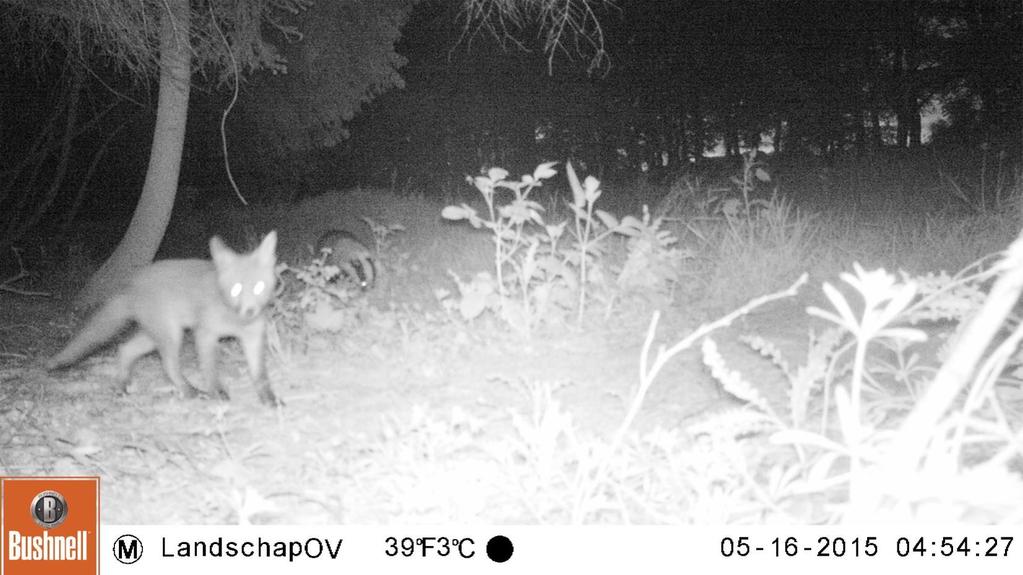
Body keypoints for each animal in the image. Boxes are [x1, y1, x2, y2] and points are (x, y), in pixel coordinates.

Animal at [46, 230, 282, 405]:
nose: (249, 311)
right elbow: (210, 370)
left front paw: (270, 400)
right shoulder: (205, 335)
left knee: (124, 349)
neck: (235, 320)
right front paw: (217, 393)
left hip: (153, 337)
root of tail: (132, 283)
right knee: (168, 365)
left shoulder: (253, 338)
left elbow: (260, 375)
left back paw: (122, 385)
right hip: (171, 336)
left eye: (259, 287)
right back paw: (190, 391)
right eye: (236, 289)